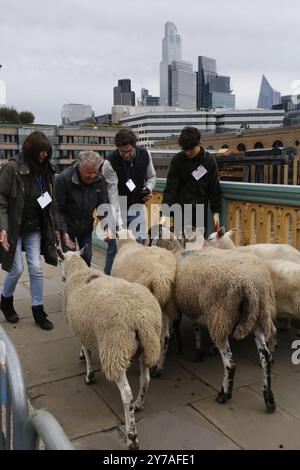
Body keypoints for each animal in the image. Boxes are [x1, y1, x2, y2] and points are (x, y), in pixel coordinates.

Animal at [62, 252, 163, 450]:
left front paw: (89, 376)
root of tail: (142, 316)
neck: (79, 271)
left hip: (115, 348)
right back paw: (139, 404)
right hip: (148, 346)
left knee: (126, 394)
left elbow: (87, 353)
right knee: (145, 379)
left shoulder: (82, 329)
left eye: (61, 259)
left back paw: (132, 436)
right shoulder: (86, 329)